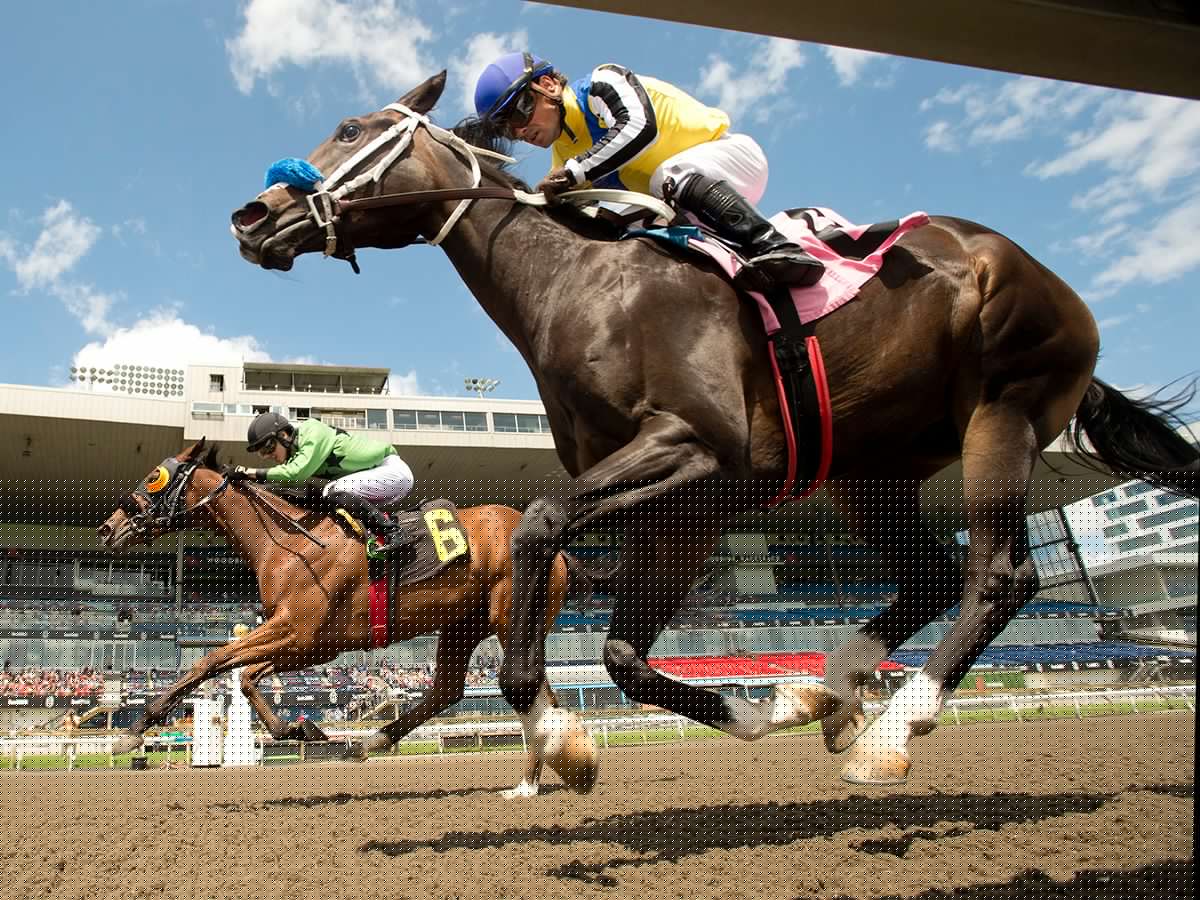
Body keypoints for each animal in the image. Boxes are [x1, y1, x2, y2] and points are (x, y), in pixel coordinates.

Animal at [96, 438, 600, 797]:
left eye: (154, 476)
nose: (107, 527)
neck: (289, 542)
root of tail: (560, 547)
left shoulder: (298, 632)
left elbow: (212, 659)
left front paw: (136, 729)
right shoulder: (312, 644)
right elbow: (248, 675)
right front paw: (298, 728)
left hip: (511, 616)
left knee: (522, 685)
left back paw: (534, 778)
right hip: (464, 623)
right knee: (457, 689)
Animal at [229, 71, 1198, 784]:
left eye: (352, 128)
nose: (251, 217)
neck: (582, 282)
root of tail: (1028, 267)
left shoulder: (697, 449)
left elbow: (540, 526)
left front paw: (550, 729)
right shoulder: (682, 507)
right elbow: (619, 653)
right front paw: (759, 710)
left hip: (1004, 411)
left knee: (999, 575)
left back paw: (890, 734)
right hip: (868, 472)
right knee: (930, 576)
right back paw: (833, 692)